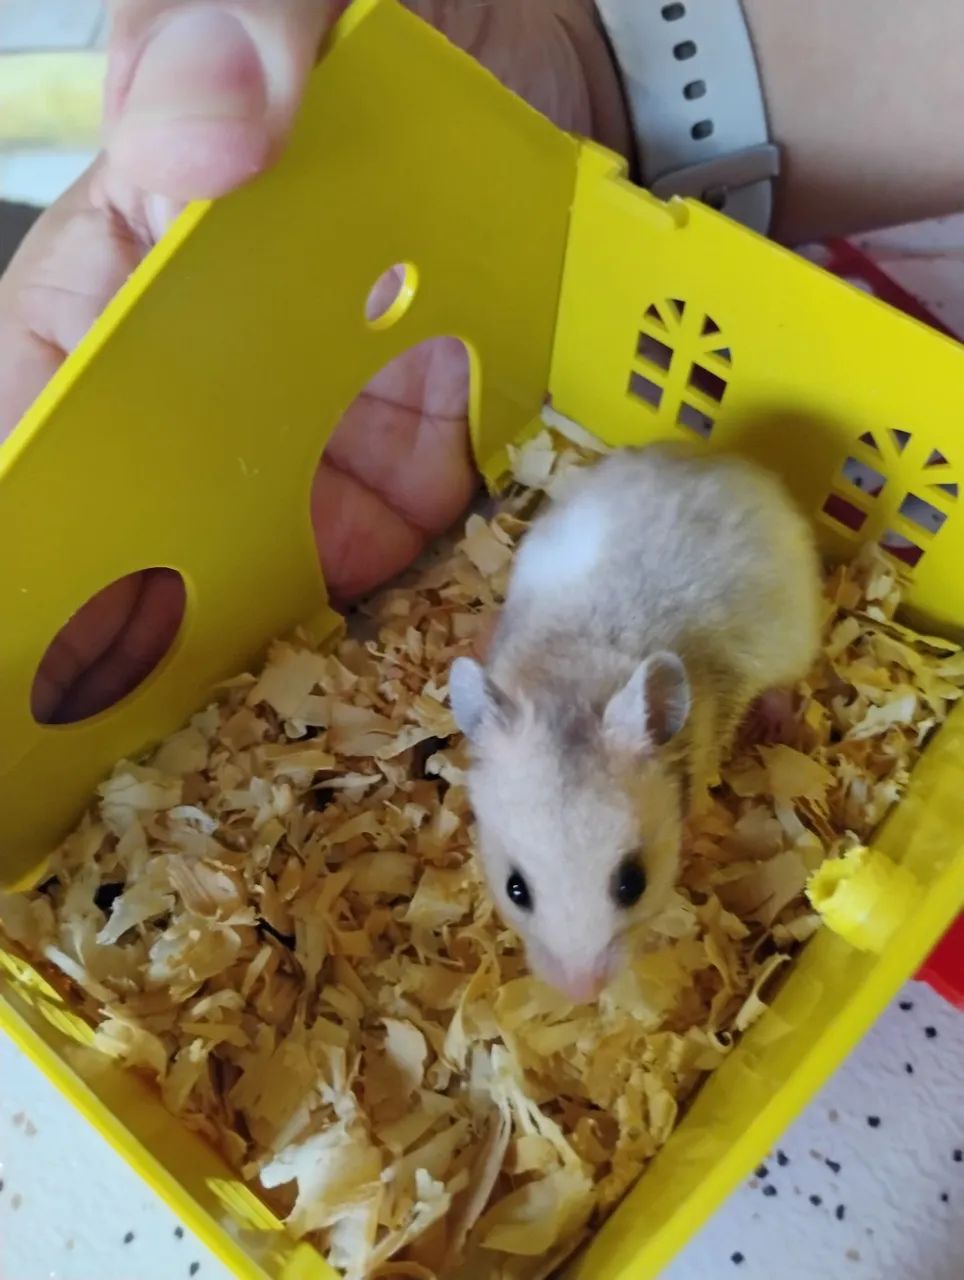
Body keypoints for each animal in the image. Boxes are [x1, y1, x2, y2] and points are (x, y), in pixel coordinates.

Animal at [449, 442, 823, 1003]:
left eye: (632, 883)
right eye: (516, 888)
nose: (581, 992)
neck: (574, 684)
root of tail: (720, 460)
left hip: (793, 631)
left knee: (783, 683)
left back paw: (773, 726)